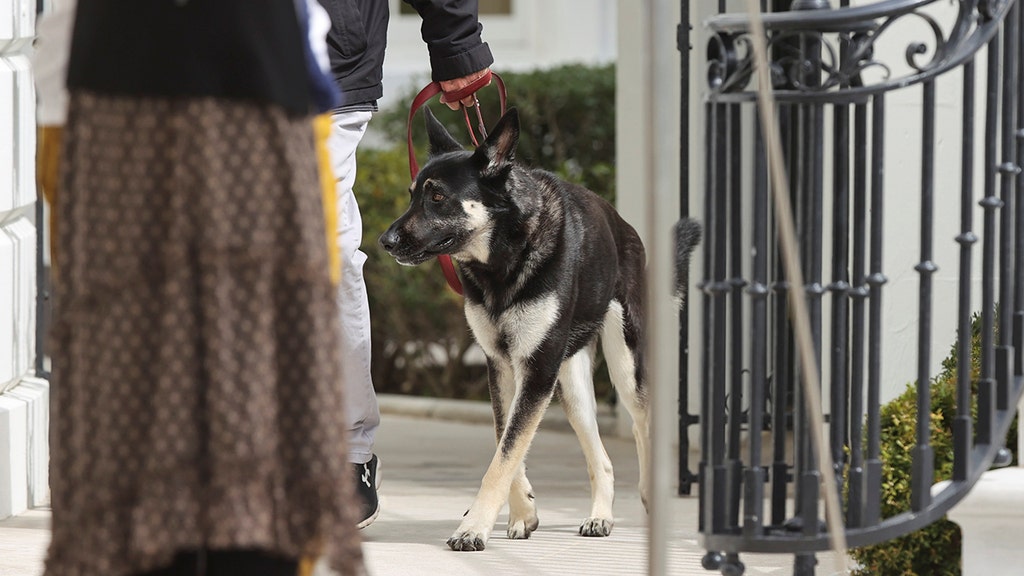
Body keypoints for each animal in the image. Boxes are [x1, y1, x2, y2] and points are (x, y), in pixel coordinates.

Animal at [380, 105, 700, 549]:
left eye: (438, 196)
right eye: (412, 194)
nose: (385, 241)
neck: (504, 258)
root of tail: (625, 227)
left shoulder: (537, 370)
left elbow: (504, 455)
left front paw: (473, 527)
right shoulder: (504, 367)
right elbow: (507, 442)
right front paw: (522, 512)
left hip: (625, 368)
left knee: (642, 429)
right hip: (571, 387)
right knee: (601, 457)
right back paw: (600, 516)